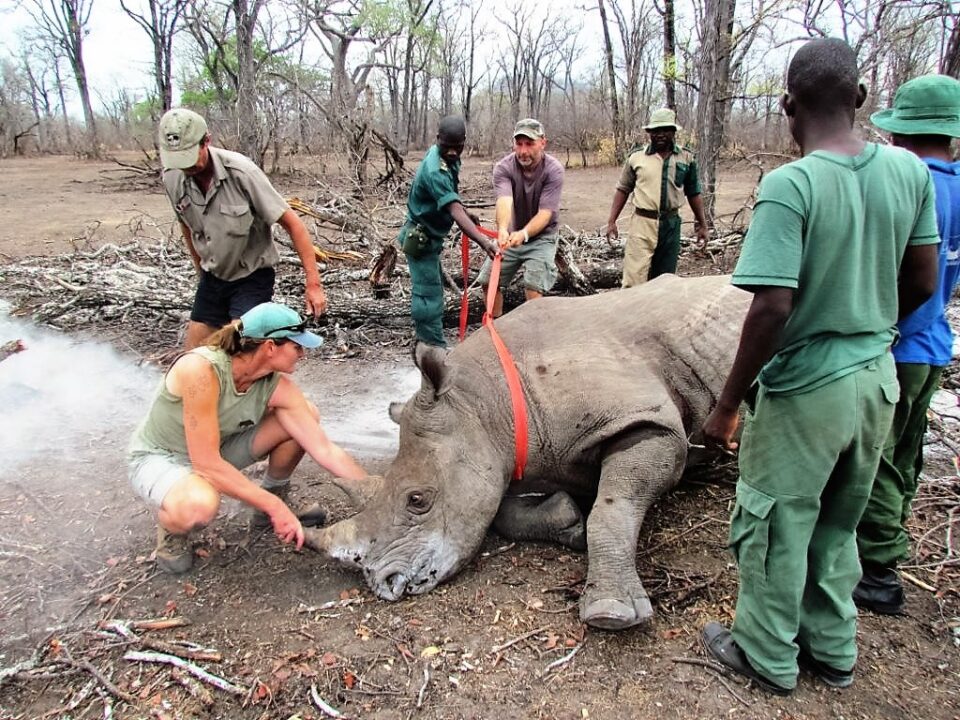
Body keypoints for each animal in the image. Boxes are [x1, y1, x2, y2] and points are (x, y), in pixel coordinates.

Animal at [306, 274, 751, 630]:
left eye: (418, 500)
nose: (384, 584)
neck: (486, 402)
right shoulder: (519, 455)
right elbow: (501, 512)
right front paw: (569, 520)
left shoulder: (652, 423)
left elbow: (612, 507)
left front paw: (610, 612)